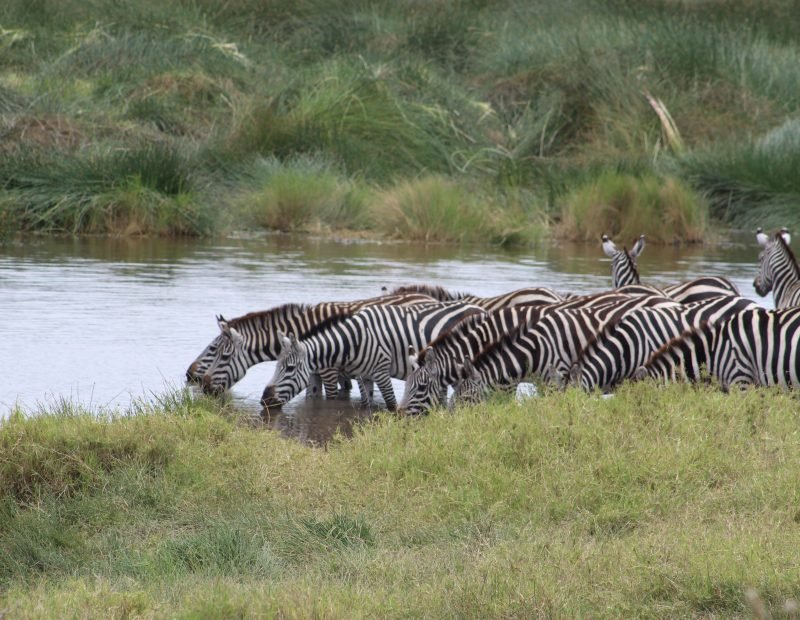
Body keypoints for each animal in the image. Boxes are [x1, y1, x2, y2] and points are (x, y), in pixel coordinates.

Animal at [261, 301, 485, 411]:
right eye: (276, 367)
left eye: (289, 368)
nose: (264, 400)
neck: (354, 340)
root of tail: (480, 309)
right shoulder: (364, 376)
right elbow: (366, 406)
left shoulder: (381, 372)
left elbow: (391, 405)